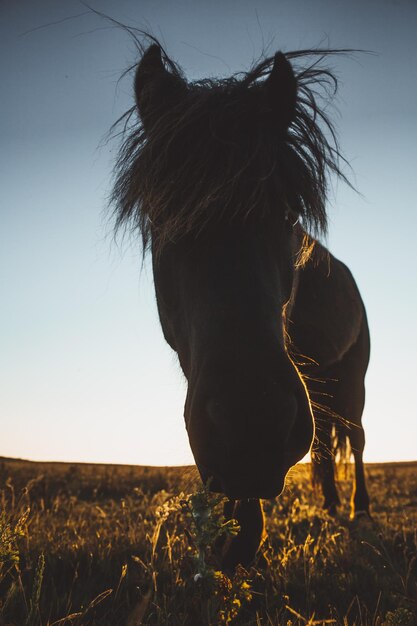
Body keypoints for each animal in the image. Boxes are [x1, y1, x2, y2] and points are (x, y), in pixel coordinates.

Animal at [109, 41, 368, 568]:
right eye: (161, 217)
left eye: (290, 213)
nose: (253, 424)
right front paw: (230, 540)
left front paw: (241, 541)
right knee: (329, 447)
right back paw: (333, 505)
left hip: (352, 376)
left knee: (356, 438)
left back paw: (360, 508)